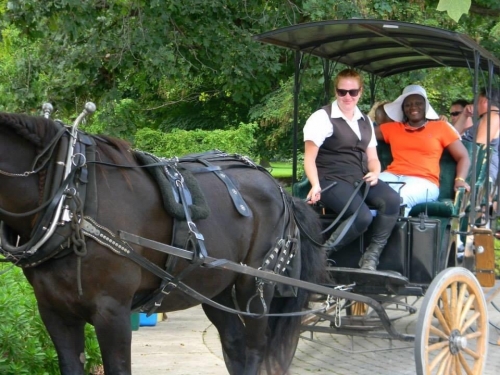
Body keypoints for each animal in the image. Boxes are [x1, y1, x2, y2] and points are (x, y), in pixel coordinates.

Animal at [0, 113, 326, 374]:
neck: (70, 198)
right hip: (216, 289)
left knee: (256, 347)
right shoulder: (55, 313)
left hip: (255, 285)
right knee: (234, 346)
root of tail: (277, 187)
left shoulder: (113, 312)